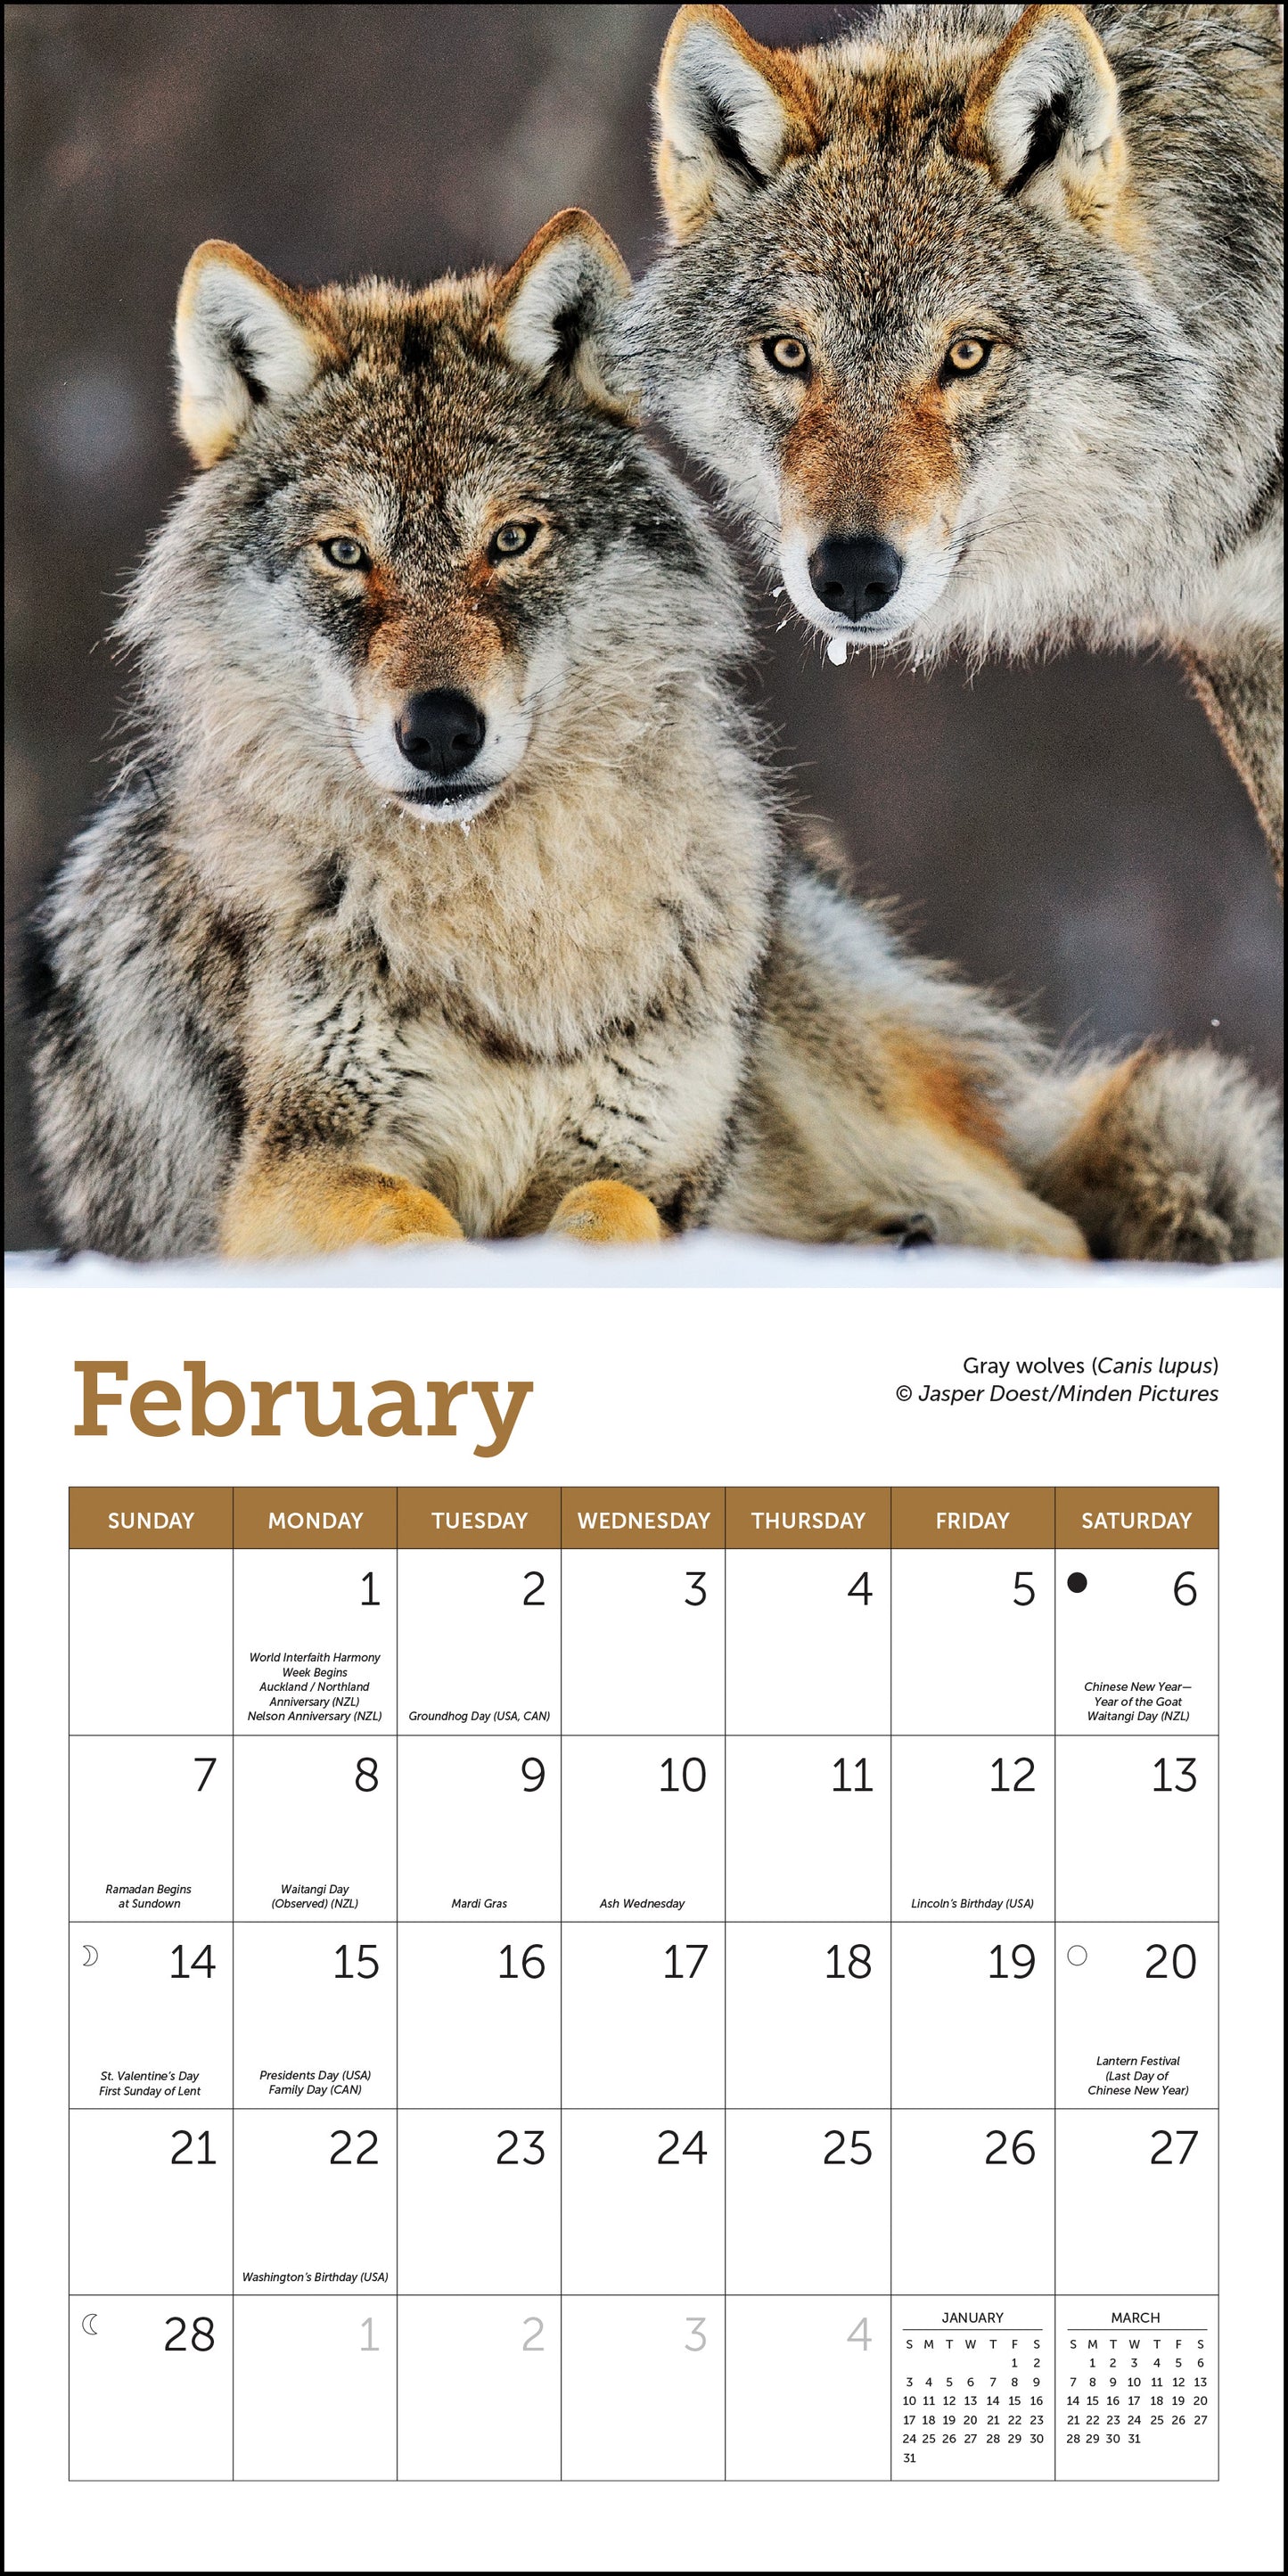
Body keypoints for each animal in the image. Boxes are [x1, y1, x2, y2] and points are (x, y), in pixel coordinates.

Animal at [28, 219, 1281, 1265]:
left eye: (512, 539)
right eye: (345, 554)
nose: (439, 730)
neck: (511, 919)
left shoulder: (643, 1161)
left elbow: (605, 1215)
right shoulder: (292, 1174)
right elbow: (413, 1221)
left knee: (1055, 1232)